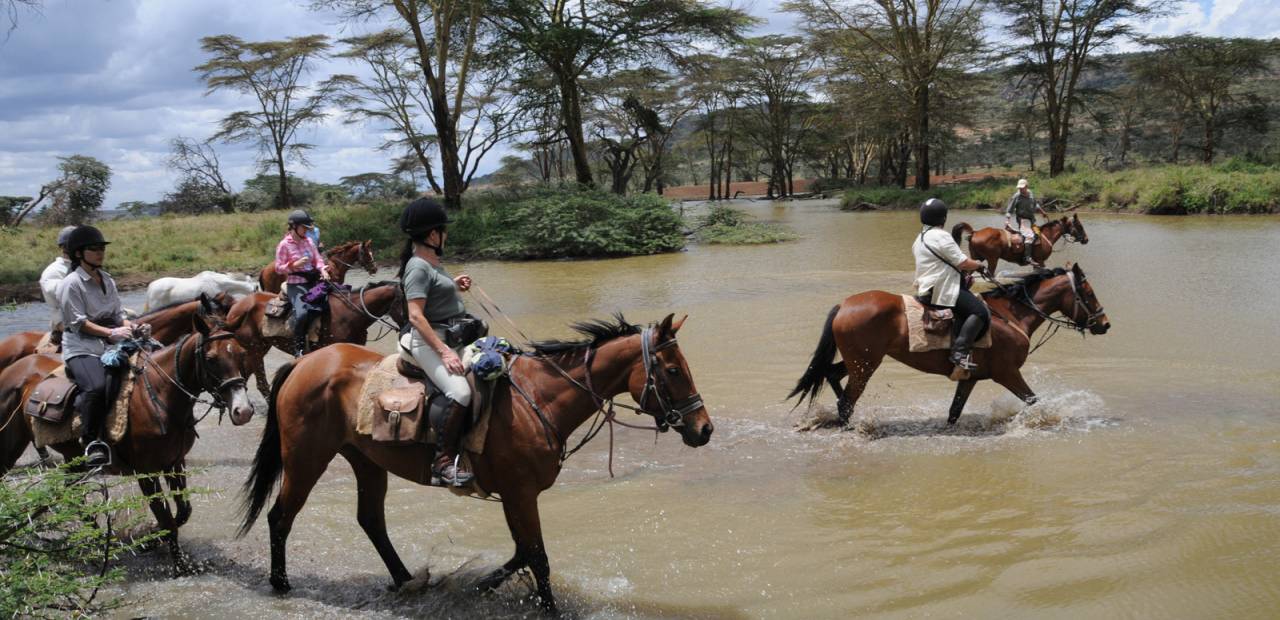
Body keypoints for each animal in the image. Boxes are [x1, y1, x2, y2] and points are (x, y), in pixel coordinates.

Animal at [0, 315, 256, 571]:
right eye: (211, 359)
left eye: (242, 354)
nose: (243, 411)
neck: (160, 396)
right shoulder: (147, 473)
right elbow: (166, 518)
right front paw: (179, 564)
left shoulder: (175, 463)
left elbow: (182, 512)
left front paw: (148, 540)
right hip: (12, 447)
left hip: (74, 460)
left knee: (74, 498)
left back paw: (99, 539)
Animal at [238, 315, 711, 614]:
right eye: (672, 370)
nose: (703, 428)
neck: (538, 401)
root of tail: (306, 360)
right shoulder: (521, 494)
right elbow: (537, 556)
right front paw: (547, 606)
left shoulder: (515, 495)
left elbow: (522, 552)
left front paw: (482, 585)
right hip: (306, 458)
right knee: (281, 517)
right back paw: (281, 583)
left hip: (366, 461)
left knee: (371, 520)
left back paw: (407, 580)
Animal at [783, 261, 1105, 425]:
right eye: (1088, 294)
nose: (1104, 323)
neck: (1010, 315)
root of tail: (845, 304)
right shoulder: (1007, 373)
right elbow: (1033, 400)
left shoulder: (970, 378)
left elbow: (954, 411)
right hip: (865, 364)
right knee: (847, 399)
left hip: (860, 361)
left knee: (831, 375)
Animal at [957, 211, 1085, 272]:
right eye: (1079, 225)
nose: (1086, 239)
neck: (1046, 236)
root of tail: (975, 232)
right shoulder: (1040, 262)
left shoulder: (1037, 264)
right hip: (992, 260)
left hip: (976, 258)